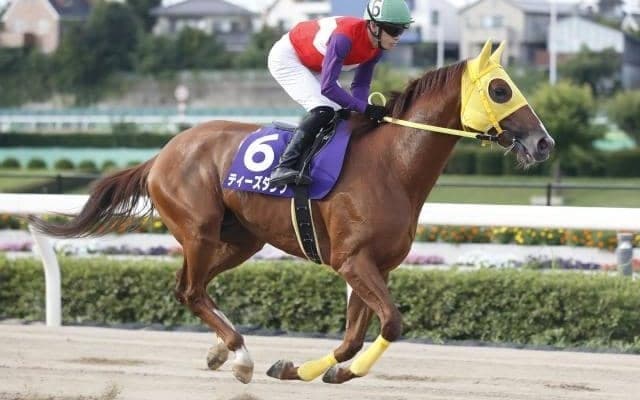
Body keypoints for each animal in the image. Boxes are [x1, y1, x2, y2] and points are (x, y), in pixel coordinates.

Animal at [30, 40, 554, 385]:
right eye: (501, 90)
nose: (544, 142)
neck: (392, 165)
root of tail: (161, 154)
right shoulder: (352, 260)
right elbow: (391, 323)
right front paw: (317, 371)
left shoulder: (372, 265)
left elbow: (354, 336)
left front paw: (311, 369)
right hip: (199, 230)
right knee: (194, 291)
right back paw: (239, 356)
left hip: (240, 239)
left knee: (188, 289)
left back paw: (221, 351)